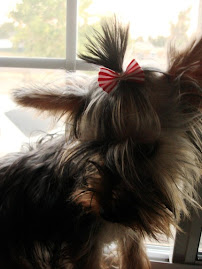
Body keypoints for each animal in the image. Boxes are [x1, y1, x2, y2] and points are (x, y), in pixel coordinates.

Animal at [0, 18, 201, 268]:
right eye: (96, 145)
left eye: (145, 149)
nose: (106, 212)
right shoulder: (84, 241)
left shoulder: (129, 229)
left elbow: (134, 256)